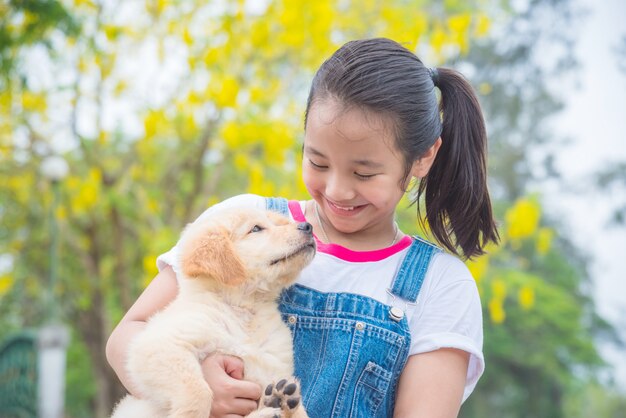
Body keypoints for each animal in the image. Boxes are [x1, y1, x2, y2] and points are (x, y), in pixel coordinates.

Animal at [110, 207, 314, 416]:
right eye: (256, 228)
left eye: (279, 224)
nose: (307, 226)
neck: (245, 311)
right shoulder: (158, 344)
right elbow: (198, 390)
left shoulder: (270, 368)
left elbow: (302, 413)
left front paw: (286, 402)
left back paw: (281, 399)